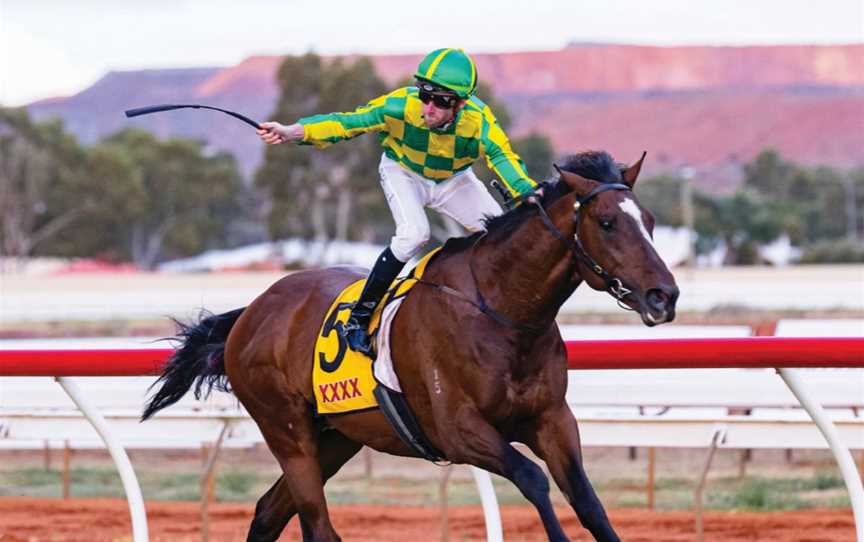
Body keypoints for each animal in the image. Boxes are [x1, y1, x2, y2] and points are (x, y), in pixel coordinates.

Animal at [143, 150, 680, 542]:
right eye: (607, 222)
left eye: (651, 220)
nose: (664, 296)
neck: (501, 311)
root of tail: (251, 311)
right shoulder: (456, 428)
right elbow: (532, 478)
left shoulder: (552, 419)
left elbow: (588, 501)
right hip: (286, 430)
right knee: (317, 525)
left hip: (337, 436)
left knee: (268, 513)